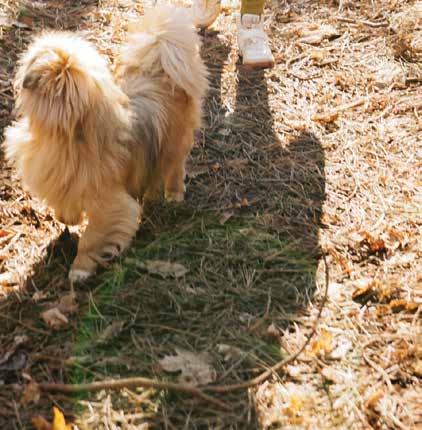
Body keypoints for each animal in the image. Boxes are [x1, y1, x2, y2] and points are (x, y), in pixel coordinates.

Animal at [4, 5, 208, 282]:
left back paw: (174, 195)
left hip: (176, 143)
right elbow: (65, 206)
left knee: (175, 167)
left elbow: (92, 238)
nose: (22, 76)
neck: (69, 137)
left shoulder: (110, 205)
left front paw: (80, 269)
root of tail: (162, 68)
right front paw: (68, 218)